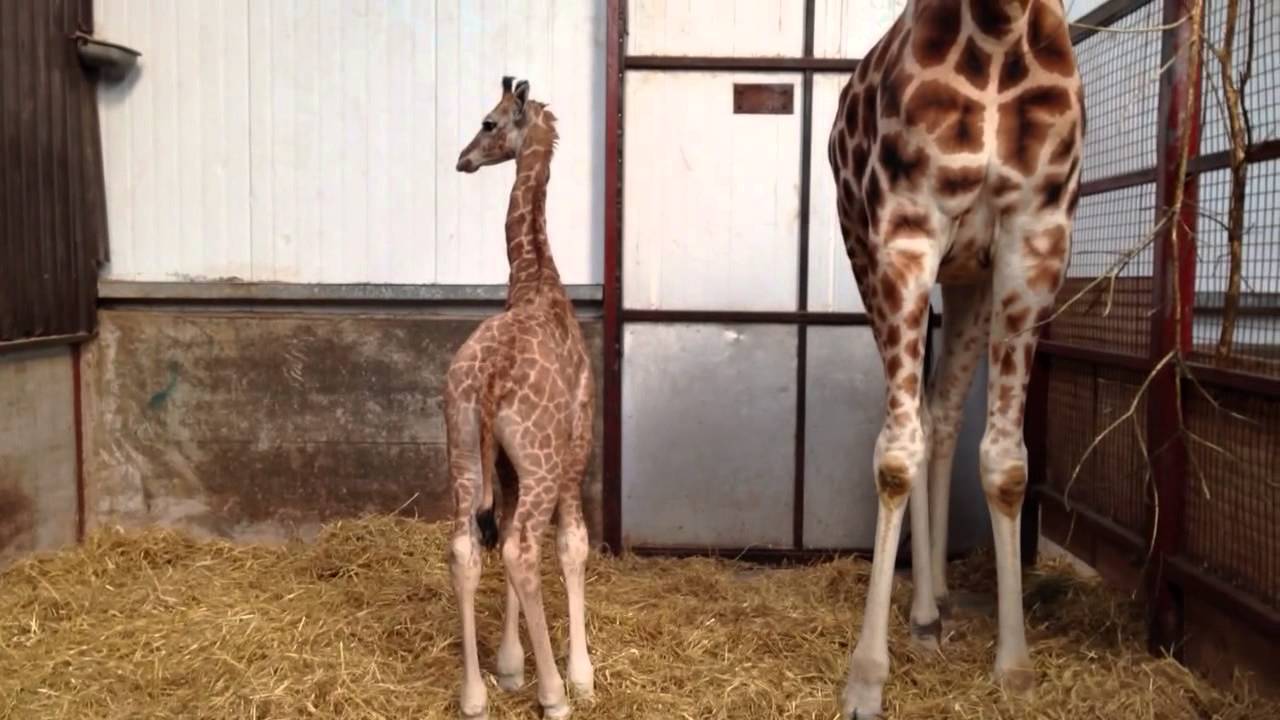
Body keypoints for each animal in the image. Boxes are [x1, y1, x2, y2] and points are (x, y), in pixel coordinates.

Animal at [826, 1, 1083, 717]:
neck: (997, 31)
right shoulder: (906, 231)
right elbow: (894, 457)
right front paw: (866, 678)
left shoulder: (1036, 237)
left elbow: (1007, 464)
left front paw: (1016, 668)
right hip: (867, 256)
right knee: (915, 418)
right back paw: (919, 614)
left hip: (971, 279)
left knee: (940, 412)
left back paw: (935, 599)